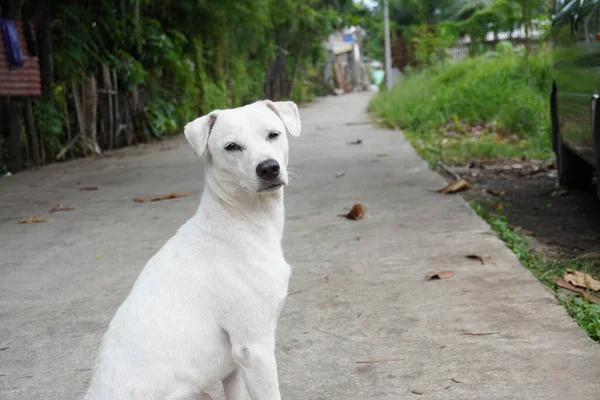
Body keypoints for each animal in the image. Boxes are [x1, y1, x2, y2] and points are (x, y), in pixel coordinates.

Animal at [84, 101, 300, 400]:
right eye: (231, 147)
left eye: (273, 134)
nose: (269, 168)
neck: (239, 220)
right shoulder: (254, 348)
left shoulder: (233, 366)